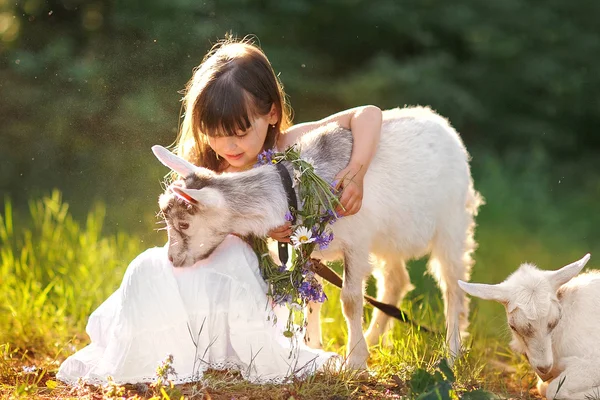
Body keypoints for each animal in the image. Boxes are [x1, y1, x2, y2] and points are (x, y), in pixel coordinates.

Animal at [154, 106, 482, 368]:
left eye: (184, 224)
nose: (173, 259)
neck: (299, 187)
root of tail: (442, 124)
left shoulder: (356, 243)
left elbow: (350, 300)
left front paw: (355, 362)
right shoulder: (307, 247)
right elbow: (312, 294)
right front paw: (314, 347)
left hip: (453, 224)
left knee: (453, 286)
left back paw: (452, 353)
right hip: (387, 239)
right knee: (396, 281)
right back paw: (374, 338)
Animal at [458, 255, 596, 398]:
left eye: (556, 321)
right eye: (513, 326)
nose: (544, 367)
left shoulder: (592, 362)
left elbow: (552, 390)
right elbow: (545, 388)